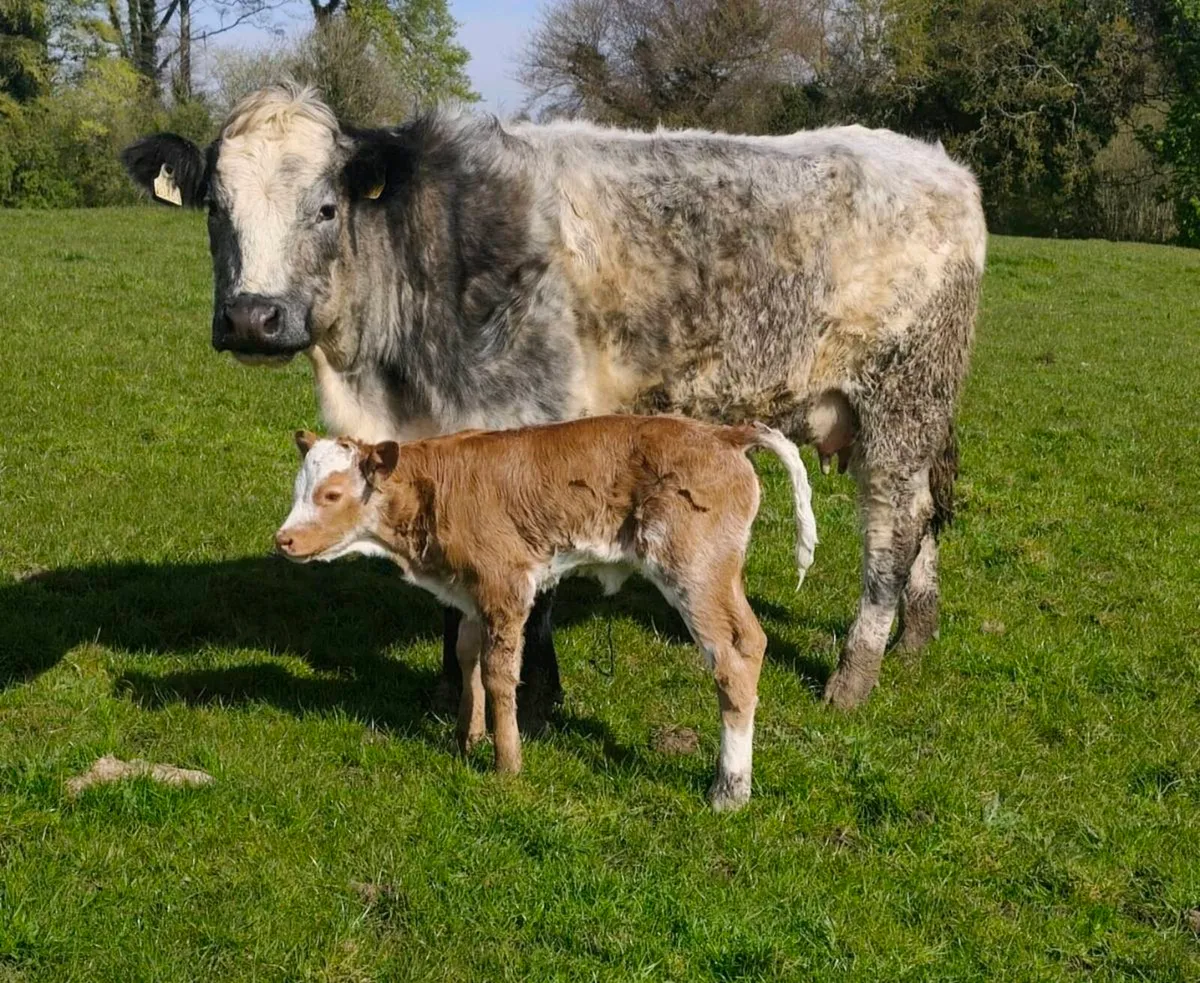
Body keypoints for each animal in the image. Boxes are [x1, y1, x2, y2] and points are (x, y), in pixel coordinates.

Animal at [121, 82, 985, 715]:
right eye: (214, 208)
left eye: (326, 207)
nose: (251, 316)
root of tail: (938, 164)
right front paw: (450, 691)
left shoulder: (528, 420)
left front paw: (533, 701)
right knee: (921, 517)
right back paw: (916, 635)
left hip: (903, 395)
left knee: (891, 526)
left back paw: (854, 674)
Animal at [273, 415, 818, 810]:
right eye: (299, 490)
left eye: (331, 494)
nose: (283, 540)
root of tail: (722, 433)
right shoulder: (470, 593)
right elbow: (468, 655)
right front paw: (466, 737)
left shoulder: (507, 585)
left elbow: (499, 672)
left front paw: (506, 763)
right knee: (751, 643)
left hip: (695, 570)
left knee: (733, 657)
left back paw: (729, 789)